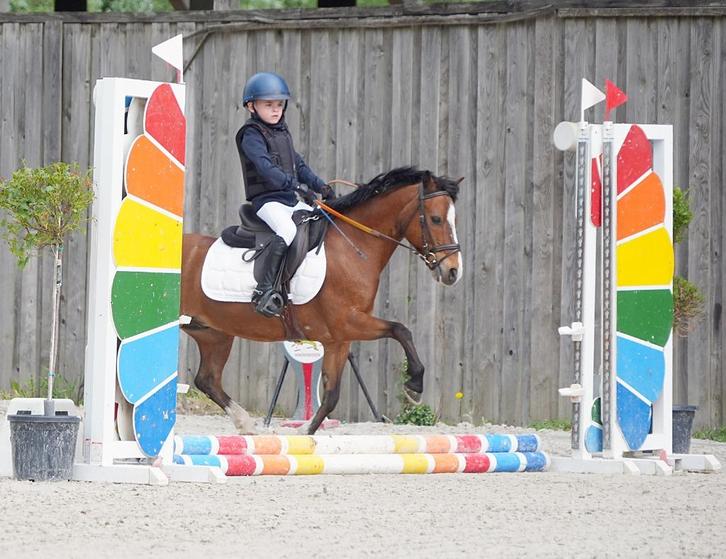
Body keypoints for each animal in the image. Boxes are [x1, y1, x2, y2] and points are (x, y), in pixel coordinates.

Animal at [180, 167, 462, 434]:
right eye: (436, 219)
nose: (453, 272)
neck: (353, 247)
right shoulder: (348, 322)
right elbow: (400, 330)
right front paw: (414, 386)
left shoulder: (339, 338)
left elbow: (332, 394)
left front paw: (306, 431)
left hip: (213, 333)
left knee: (207, 379)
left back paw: (245, 423)